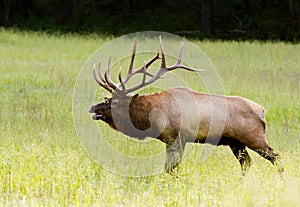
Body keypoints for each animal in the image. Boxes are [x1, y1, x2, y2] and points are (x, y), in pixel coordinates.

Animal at [88, 36, 284, 175]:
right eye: (106, 98)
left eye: (112, 102)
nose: (92, 108)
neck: (153, 117)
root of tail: (262, 111)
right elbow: (171, 168)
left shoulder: (177, 136)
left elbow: (171, 168)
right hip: (236, 142)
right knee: (247, 163)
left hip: (254, 137)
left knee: (276, 157)